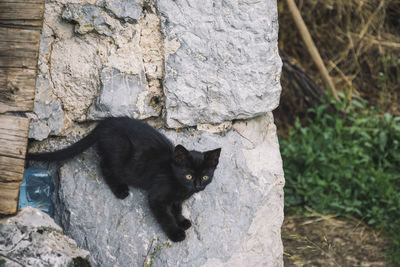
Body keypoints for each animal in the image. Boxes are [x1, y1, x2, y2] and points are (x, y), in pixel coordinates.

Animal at [27, 117, 222, 243]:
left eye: (205, 176)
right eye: (188, 175)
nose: (197, 185)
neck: (180, 186)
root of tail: (105, 123)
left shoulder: (177, 199)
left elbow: (177, 209)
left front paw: (182, 221)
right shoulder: (157, 196)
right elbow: (166, 216)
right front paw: (175, 233)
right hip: (120, 152)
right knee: (104, 165)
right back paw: (120, 190)